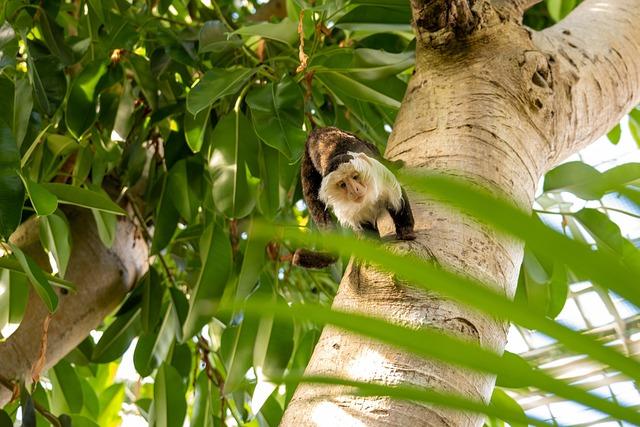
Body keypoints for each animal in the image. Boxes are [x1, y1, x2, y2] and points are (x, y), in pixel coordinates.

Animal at [294, 126, 418, 270]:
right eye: (343, 184)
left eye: (355, 177)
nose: (354, 190)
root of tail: (314, 132)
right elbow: (362, 221)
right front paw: (373, 242)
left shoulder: (381, 177)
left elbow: (399, 198)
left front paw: (406, 231)